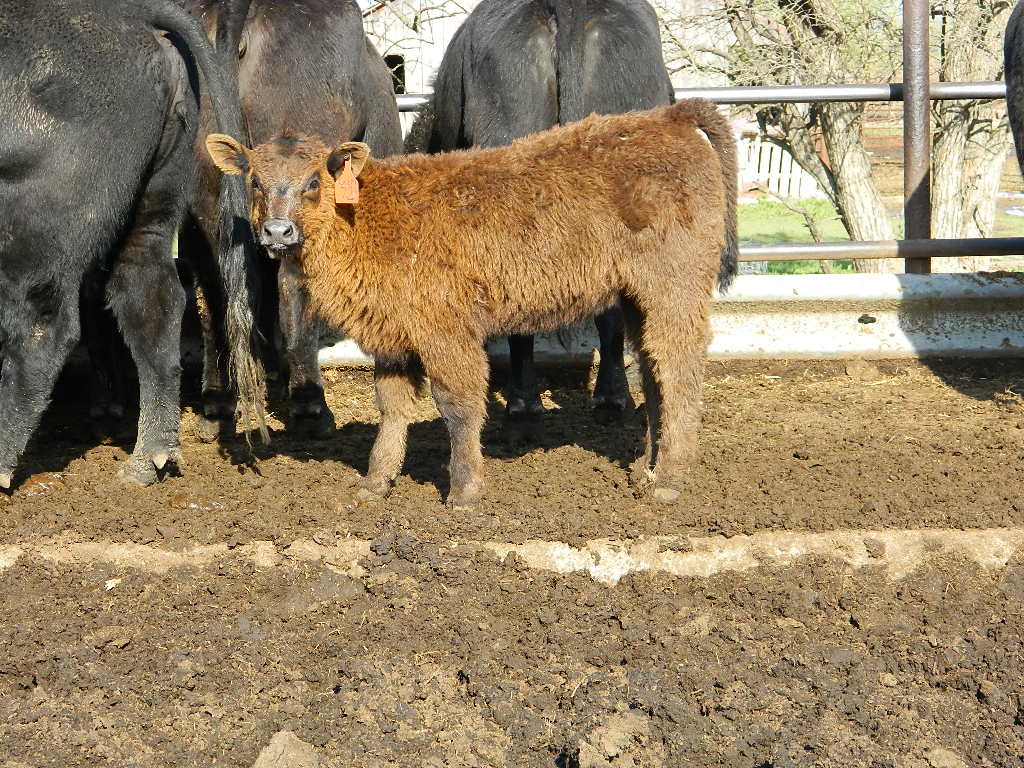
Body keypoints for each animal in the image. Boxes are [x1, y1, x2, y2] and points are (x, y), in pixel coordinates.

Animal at [0, 0, 256, 489]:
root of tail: (128, 15)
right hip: (151, 208)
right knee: (151, 298)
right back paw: (147, 460)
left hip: (43, 226)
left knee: (42, 326)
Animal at [206, 98, 739, 508]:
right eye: (254, 181)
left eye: (315, 181)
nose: (277, 232)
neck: (367, 213)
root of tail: (669, 117)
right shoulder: (393, 339)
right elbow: (392, 407)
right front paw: (374, 484)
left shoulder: (446, 332)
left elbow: (458, 404)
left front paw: (464, 491)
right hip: (635, 297)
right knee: (652, 368)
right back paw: (648, 466)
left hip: (675, 288)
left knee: (679, 367)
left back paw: (668, 480)